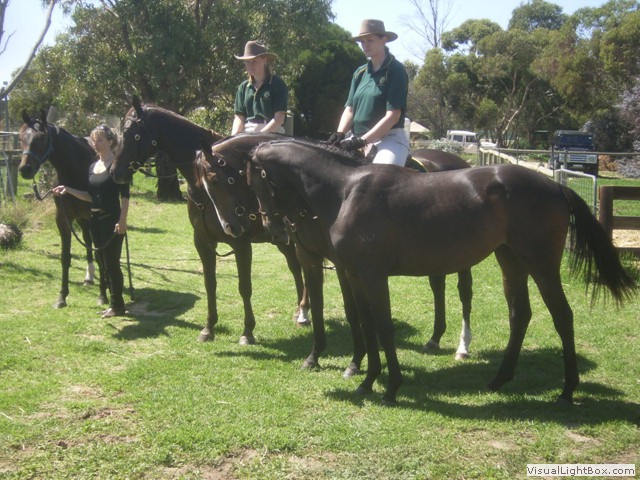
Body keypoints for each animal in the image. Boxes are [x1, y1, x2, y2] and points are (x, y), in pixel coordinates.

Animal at [18, 111, 107, 309]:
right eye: (21, 137)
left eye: (42, 138)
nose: (25, 169)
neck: (75, 168)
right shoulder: (63, 219)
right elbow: (65, 257)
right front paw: (62, 297)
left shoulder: (93, 216)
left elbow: (100, 253)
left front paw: (103, 295)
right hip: (81, 219)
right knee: (87, 240)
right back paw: (89, 276)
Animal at [109, 96, 309, 345]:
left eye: (131, 133)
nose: (114, 172)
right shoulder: (203, 241)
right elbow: (209, 284)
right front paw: (209, 328)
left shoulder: (241, 243)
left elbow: (244, 286)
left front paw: (247, 331)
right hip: (282, 239)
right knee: (295, 268)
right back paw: (300, 311)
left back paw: (304, 313)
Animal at [219, 138, 635, 404]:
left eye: (249, 181)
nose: (271, 228)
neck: (345, 192)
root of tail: (553, 185)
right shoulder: (354, 275)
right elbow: (367, 326)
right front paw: (367, 380)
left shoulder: (372, 277)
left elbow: (383, 327)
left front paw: (390, 386)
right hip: (510, 261)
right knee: (520, 315)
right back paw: (499, 379)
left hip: (541, 264)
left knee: (562, 316)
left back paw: (567, 390)